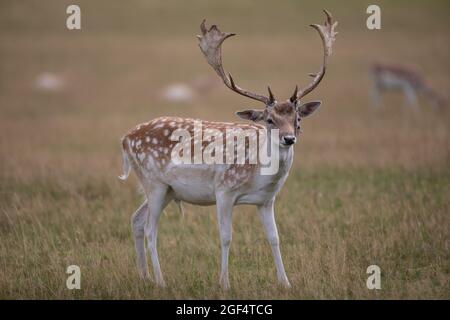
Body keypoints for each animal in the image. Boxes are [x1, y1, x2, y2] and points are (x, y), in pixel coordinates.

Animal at [119, 11, 338, 288]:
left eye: (298, 120)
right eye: (269, 120)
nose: (289, 138)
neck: (257, 174)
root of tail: (125, 139)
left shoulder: (267, 200)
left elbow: (275, 237)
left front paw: (285, 283)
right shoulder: (223, 190)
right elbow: (226, 236)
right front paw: (224, 283)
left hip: (167, 189)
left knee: (136, 220)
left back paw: (145, 277)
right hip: (154, 182)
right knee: (150, 229)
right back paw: (161, 281)